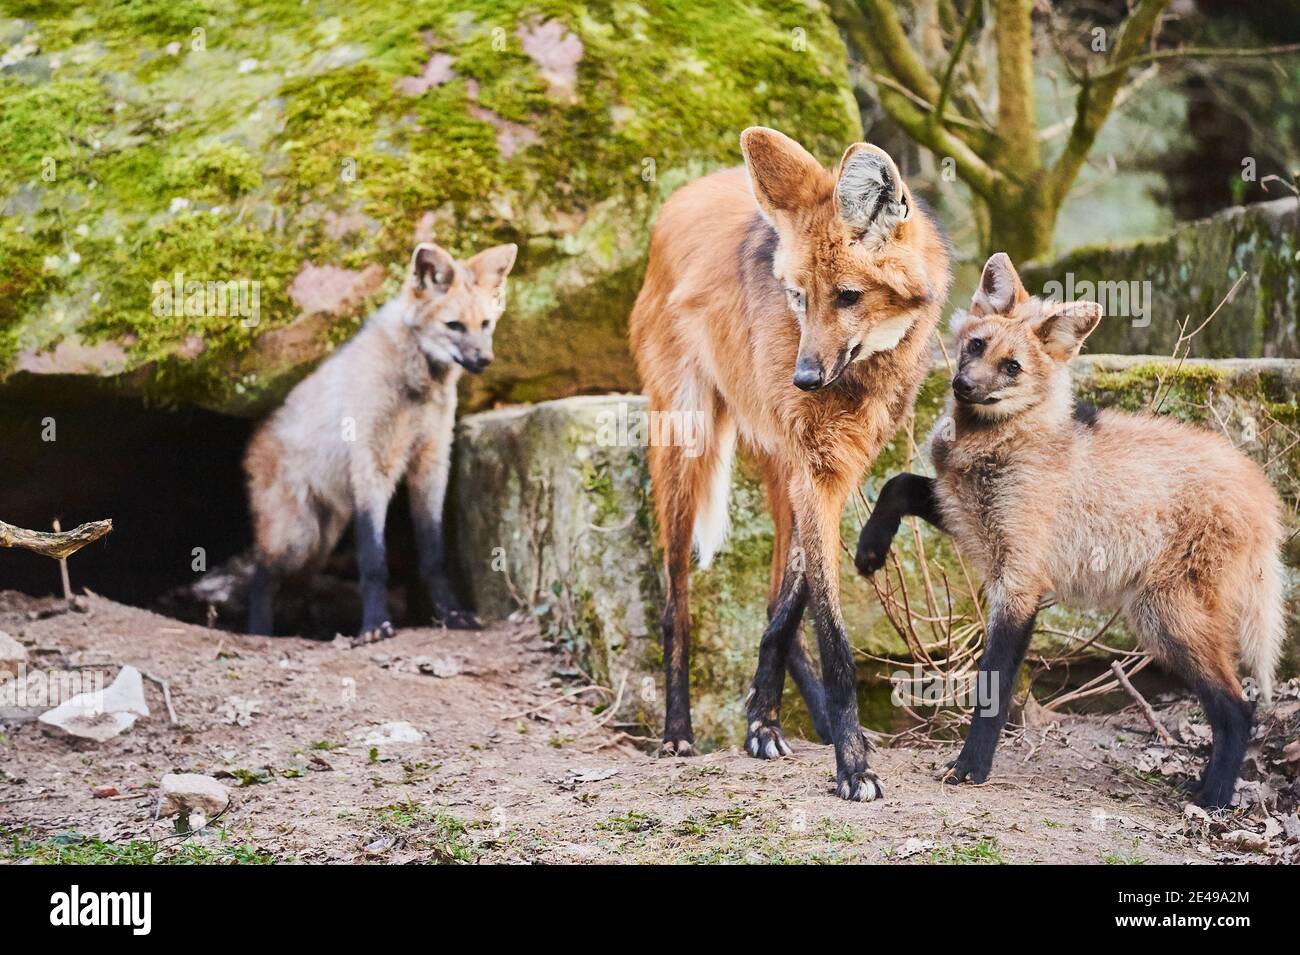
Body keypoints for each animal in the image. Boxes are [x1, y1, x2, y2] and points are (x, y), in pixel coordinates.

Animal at [244, 239, 517, 641]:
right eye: (454, 325)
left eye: (485, 324)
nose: (485, 359)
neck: (417, 383)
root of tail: (255, 437)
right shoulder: (374, 467)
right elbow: (373, 562)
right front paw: (374, 625)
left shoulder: (430, 465)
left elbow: (433, 556)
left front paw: (451, 614)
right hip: (297, 534)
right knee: (261, 576)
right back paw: (259, 632)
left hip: (320, 539)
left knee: (294, 585)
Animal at [626, 127, 946, 800]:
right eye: (798, 297)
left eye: (849, 297)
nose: (803, 379)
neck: (862, 374)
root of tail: (679, 199)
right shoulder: (814, 471)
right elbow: (830, 633)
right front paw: (853, 766)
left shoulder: (830, 469)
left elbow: (790, 610)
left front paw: (765, 720)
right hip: (686, 446)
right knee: (675, 604)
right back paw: (677, 732)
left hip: (775, 467)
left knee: (778, 595)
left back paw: (796, 718)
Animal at [857, 254, 1284, 805]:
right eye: (975, 346)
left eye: (1012, 367)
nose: (963, 386)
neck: (998, 442)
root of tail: (1262, 490)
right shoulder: (968, 517)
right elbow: (900, 483)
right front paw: (870, 549)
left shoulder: (1019, 582)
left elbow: (993, 688)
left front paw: (971, 768)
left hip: (1164, 616)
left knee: (1237, 707)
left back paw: (1211, 799)